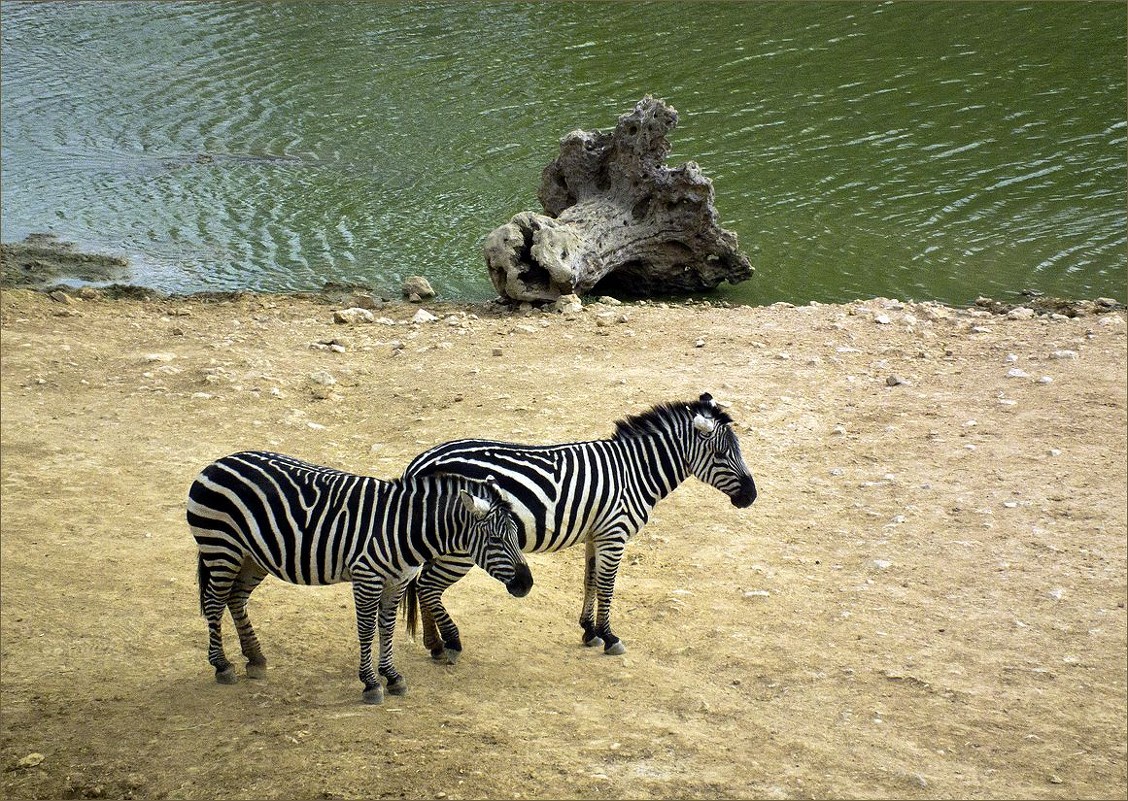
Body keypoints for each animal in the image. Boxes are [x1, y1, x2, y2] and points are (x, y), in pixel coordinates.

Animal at [186, 455, 532, 703]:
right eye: (495, 540)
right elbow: (367, 630)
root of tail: (218, 463)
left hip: (253, 557)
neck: (404, 529)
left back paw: (256, 659)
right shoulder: (367, 578)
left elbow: (387, 628)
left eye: (517, 534)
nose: (526, 584)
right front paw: (371, 683)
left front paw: (392, 676)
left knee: (235, 599)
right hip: (222, 548)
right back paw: (222, 665)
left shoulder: (397, 581)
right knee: (215, 602)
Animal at [401, 392, 753, 663]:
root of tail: (419, 462)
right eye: (721, 454)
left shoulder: (596, 534)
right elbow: (607, 585)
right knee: (428, 585)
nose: (751, 496)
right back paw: (447, 644)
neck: (635, 472)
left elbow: (590, 580)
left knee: (422, 585)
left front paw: (589, 631)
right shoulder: (614, 534)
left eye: (738, 450)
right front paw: (609, 636)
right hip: (460, 547)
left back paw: (434, 645)